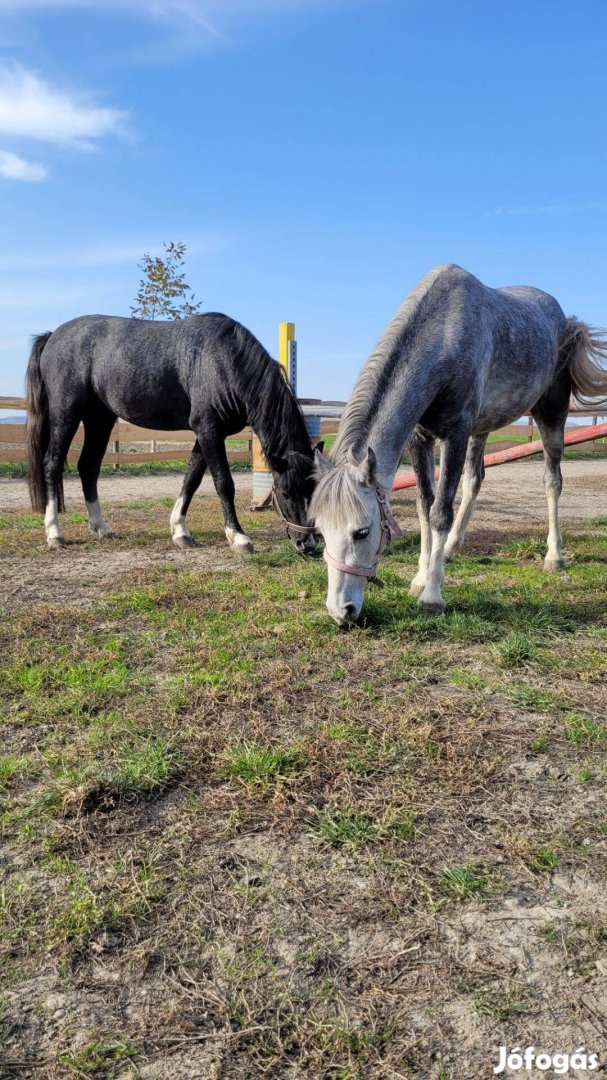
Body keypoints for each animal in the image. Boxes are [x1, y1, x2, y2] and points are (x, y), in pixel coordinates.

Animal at [25, 311, 319, 548]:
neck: (223, 361)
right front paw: (238, 536)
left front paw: (180, 531)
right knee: (52, 464)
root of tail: (52, 336)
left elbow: (191, 479)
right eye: (285, 493)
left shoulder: (208, 434)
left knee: (88, 467)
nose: (307, 544)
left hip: (100, 419)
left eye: (313, 490)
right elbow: (224, 483)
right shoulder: (209, 430)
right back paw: (54, 533)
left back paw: (101, 528)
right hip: (66, 415)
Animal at [308, 260, 604, 626]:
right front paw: (420, 578)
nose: (341, 612)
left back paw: (554, 556)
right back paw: (450, 548)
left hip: (551, 416)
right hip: (483, 427)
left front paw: (432, 596)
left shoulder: (455, 432)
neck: (445, 335)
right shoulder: (420, 439)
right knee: (475, 479)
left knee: (552, 482)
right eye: (320, 531)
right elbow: (425, 506)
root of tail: (564, 320)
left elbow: (440, 512)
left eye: (362, 532)